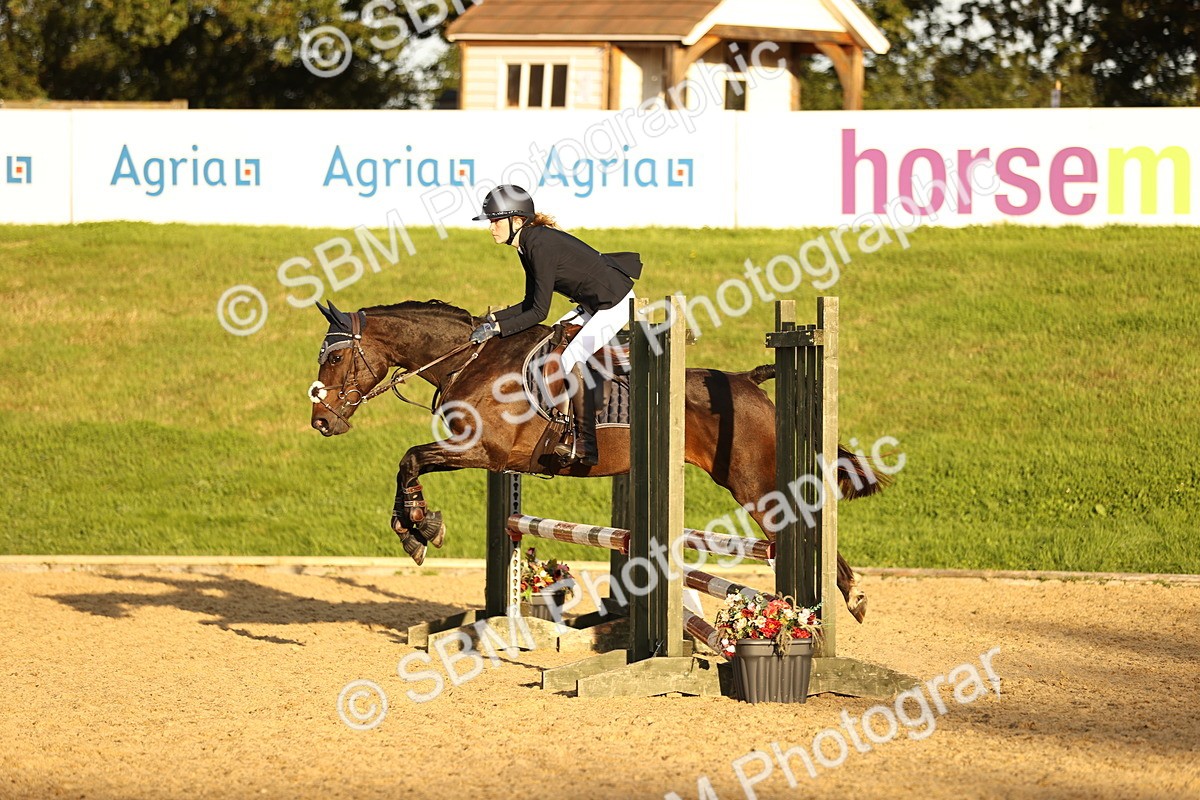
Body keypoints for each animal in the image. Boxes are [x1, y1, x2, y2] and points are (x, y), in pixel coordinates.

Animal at [307, 299, 885, 621]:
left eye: (333, 358)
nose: (321, 422)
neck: (472, 361)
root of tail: (747, 381)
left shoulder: (483, 451)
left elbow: (409, 460)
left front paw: (420, 528)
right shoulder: (488, 459)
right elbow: (409, 464)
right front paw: (413, 529)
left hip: (755, 482)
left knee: (799, 525)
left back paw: (845, 600)